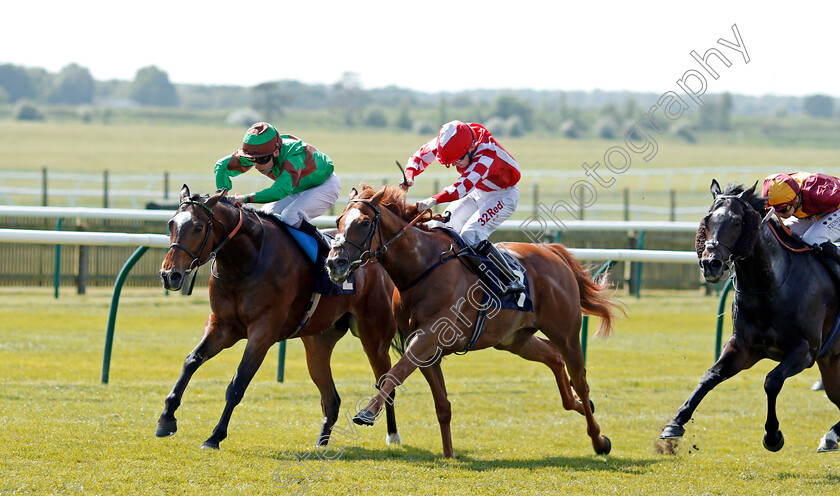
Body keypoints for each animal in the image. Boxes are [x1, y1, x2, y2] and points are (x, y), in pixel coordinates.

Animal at [158, 185, 404, 450]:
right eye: (171, 223)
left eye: (197, 227)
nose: (169, 275)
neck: (246, 261)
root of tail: (376, 260)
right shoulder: (222, 326)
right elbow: (192, 360)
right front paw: (166, 418)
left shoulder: (263, 332)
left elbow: (238, 383)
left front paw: (215, 436)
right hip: (318, 344)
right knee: (331, 399)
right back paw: (321, 443)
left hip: (374, 338)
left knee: (386, 383)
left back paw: (392, 434)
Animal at [324, 185, 620, 458]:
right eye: (339, 220)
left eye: (364, 223)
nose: (334, 263)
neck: (421, 267)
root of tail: (553, 252)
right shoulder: (427, 349)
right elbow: (442, 406)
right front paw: (449, 454)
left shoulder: (427, 337)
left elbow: (394, 373)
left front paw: (367, 412)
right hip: (515, 339)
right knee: (554, 358)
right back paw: (578, 405)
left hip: (565, 332)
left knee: (580, 380)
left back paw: (598, 439)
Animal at [660, 180, 840, 452]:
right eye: (707, 219)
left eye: (736, 222)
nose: (710, 264)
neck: (770, 285)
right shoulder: (742, 346)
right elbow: (709, 376)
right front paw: (675, 423)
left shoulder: (805, 350)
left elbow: (771, 381)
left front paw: (773, 436)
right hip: (831, 363)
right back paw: (831, 437)